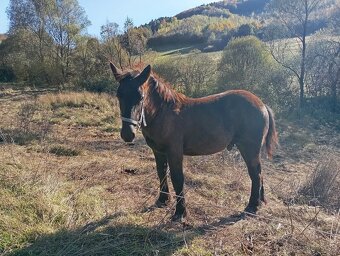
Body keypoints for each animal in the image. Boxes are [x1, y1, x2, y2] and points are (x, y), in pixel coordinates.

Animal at [110, 62, 278, 222]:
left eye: (141, 97)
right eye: (119, 95)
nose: (127, 134)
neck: (163, 112)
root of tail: (262, 104)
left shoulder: (175, 152)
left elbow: (177, 179)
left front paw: (180, 212)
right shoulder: (158, 151)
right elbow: (161, 173)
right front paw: (162, 200)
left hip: (249, 149)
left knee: (255, 175)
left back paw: (251, 207)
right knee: (259, 174)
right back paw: (260, 202)